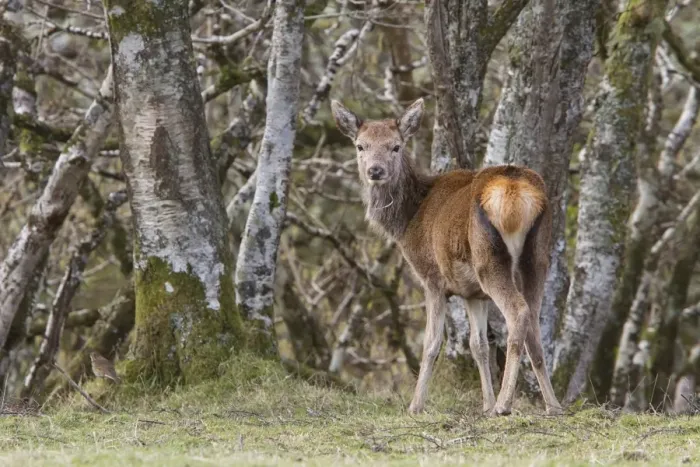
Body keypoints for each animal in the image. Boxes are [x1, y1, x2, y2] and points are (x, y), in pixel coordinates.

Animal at [330, 98, 563, 417]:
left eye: (396, 146)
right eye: (360, 146)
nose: (375, 171)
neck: (408, 221)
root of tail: (515, 191)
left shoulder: (431, 277)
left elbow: (431, 343)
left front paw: (416, 405)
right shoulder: (472, 293)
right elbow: (478, 345)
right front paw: (484, 404)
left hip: (490, 261)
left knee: (518, 312)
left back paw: (504, 405)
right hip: (537, 257)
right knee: (535, 325)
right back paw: (552, 405)